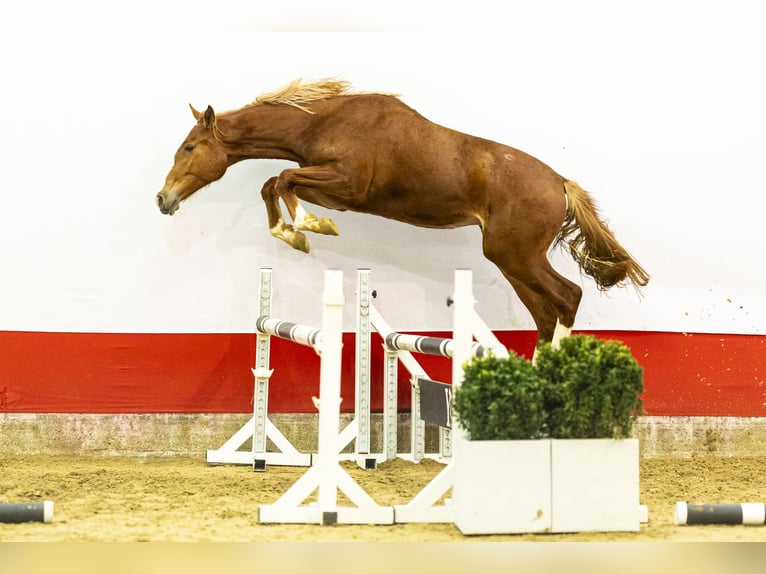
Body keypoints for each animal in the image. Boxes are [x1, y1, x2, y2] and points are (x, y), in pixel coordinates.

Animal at [156, 78, 649, 349]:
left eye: (190, 147)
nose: (163, 199)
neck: (321, 121)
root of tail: (560, 183)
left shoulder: (345, 185)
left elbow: (281, 179)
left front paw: (310, 229)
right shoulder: (331, 187)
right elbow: (275, 182)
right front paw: (294, 232)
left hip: (517, 256)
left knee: (567, 298)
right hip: (512, 262)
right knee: (546, 315)